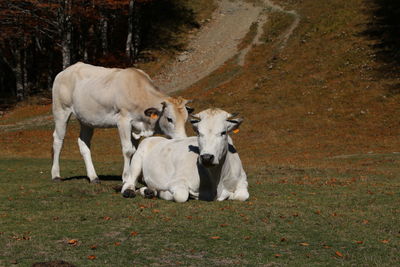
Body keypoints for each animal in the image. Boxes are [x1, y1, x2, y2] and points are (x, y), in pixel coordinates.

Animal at [50, 62, 195, 184]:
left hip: (86, 120)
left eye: (185, 119)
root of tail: (65, 71)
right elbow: (128, 150)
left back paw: (93, 177)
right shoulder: (123, 120)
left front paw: (137, 177)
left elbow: (136, 151)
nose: (183, 139)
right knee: (58, 140)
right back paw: (56, 175)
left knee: (84, 143)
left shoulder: (136, 126)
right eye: (170, 119)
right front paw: (126, 177)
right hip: (61, 110)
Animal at [120, 108, 248, 202]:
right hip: (136, 160)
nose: (206, 157)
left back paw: (149, 191)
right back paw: (133, 191)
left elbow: (242, 196)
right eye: (198, 132)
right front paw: (163, 193)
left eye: (223, 132)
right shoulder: (177, 181)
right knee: (129, 182)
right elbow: (181, 196)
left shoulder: (243, 181)